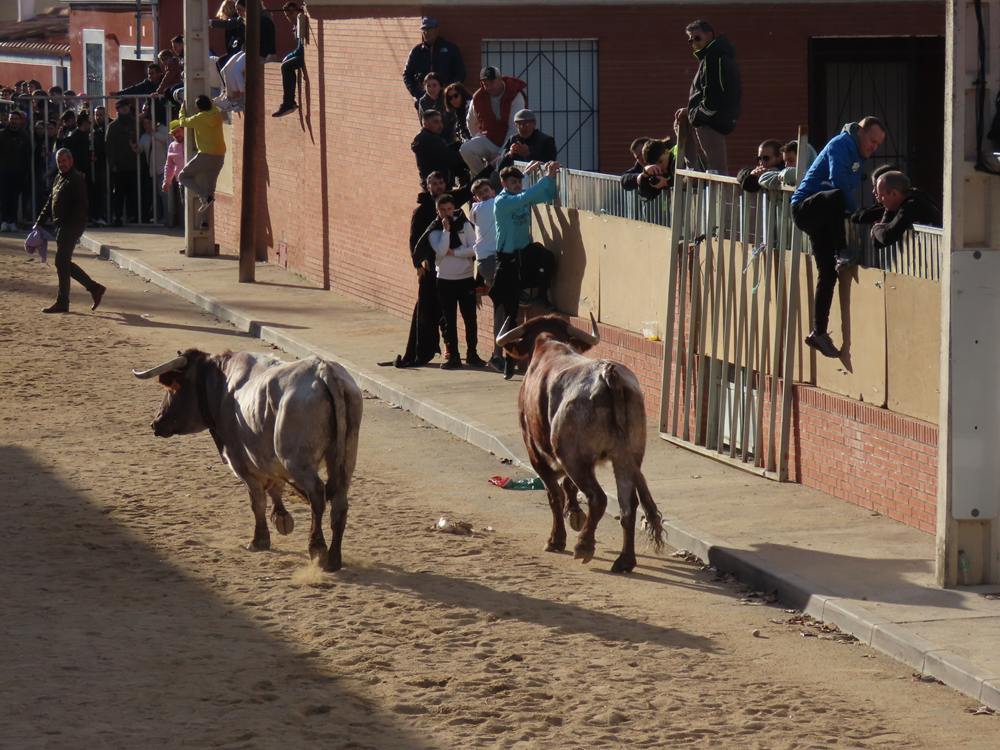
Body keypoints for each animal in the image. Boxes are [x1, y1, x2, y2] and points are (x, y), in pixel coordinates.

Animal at [135, 350, 364, 572]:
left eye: (174, 389)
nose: (156, 423)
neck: (222, 386)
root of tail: (324, 369)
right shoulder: (266, 457)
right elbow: (274, 487)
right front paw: (281, 516)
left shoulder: (241, 462)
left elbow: (257, 502)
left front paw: (259, 539)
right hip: (345, 459)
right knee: (340, 503)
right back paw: (334, 558)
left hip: (297, 461)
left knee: (317, 494)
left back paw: (317, 549)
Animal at [494, 314, 664, 572]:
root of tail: (609, 375)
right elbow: (567, 487)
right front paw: (574, 514)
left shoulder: (536, 453)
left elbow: (555, 494)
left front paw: (556, 539)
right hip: (625, 457)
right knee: (628, 505)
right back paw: (624, 560)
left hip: (574, 457)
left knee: (598, 498)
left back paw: (584, 546)